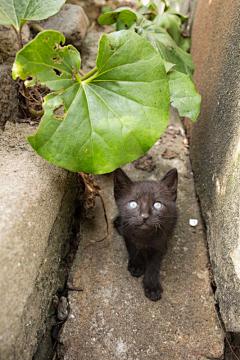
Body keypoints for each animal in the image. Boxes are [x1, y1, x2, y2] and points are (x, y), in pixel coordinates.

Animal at [113, 168, 178, 300]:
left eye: (157, 205)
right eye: (133, 204)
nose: (144, 216)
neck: (144, 236)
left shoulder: (159, 243)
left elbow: (154, 265)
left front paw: (151, 286)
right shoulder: (128, 235)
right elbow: (133, 249)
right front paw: (137, 265)